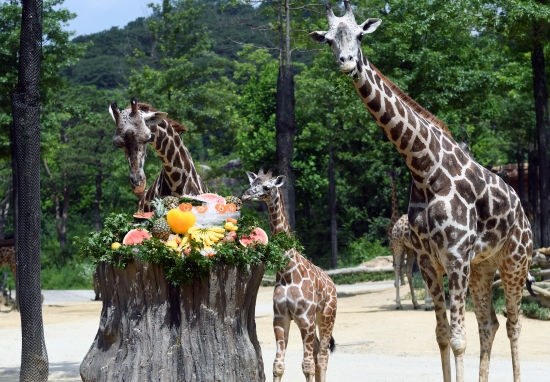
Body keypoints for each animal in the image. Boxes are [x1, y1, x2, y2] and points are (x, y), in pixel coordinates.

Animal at [312, 3, 536, 382]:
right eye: (328, 40)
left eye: (359, 35)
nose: (345, 61)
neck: (423, 167)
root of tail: (523, 213)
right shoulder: (429, 260)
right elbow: (443, 334)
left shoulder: (456, 257)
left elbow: (459, 338)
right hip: (483, 267)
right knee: (489, 323)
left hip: (515, 261)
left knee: (513, 324)